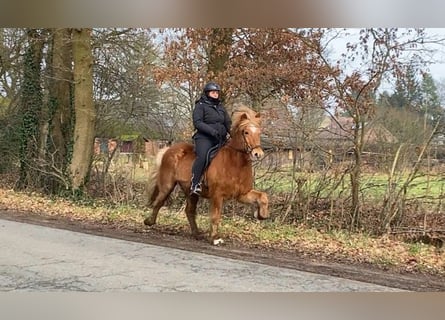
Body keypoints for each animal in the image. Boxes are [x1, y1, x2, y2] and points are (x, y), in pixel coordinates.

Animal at [143, 105, 268, 245]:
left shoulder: (242, 194)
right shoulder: (217, 195)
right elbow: (215, 216)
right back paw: (149, 222)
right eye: (246, 132)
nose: (258, 154)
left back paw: (197, 233)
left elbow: (263, 196)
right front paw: (215, 238)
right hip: (167, 185)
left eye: (259, 132)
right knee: (159, 202)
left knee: (189, 210)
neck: (235, 163)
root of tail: (168, 150)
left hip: (190, 191)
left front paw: (261, 214)